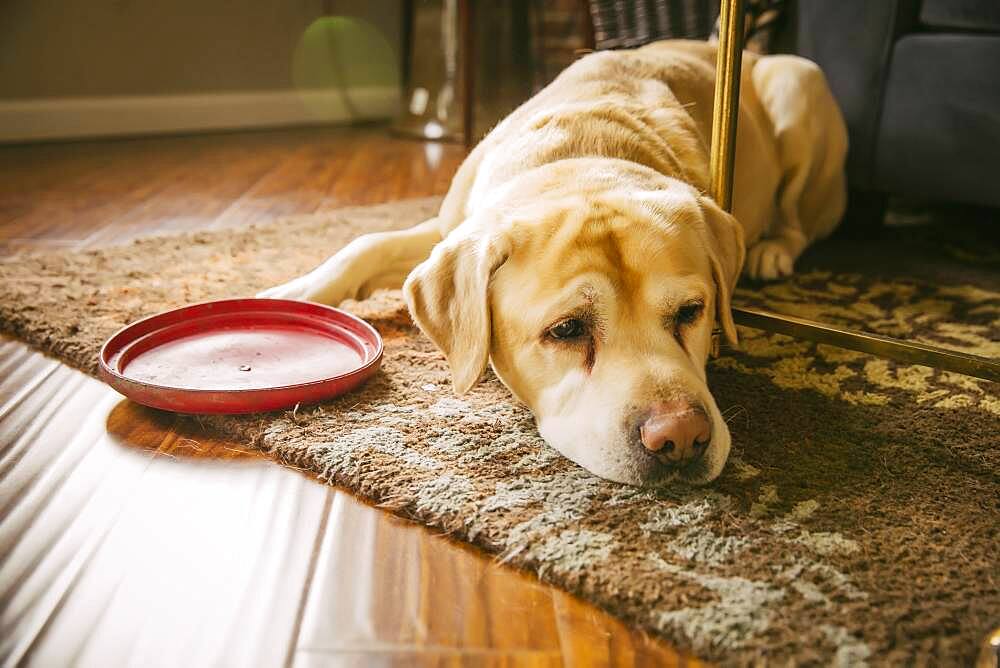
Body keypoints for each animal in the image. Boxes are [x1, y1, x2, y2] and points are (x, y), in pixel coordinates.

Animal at [262, 40, 848, 486]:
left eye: (691, 312)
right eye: (566, 330)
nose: (682, 437)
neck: (579, 156)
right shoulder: (449, 226)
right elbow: (367, 242)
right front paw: (290, 294)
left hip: (800, 83)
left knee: (798, 219)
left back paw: (773, 249)